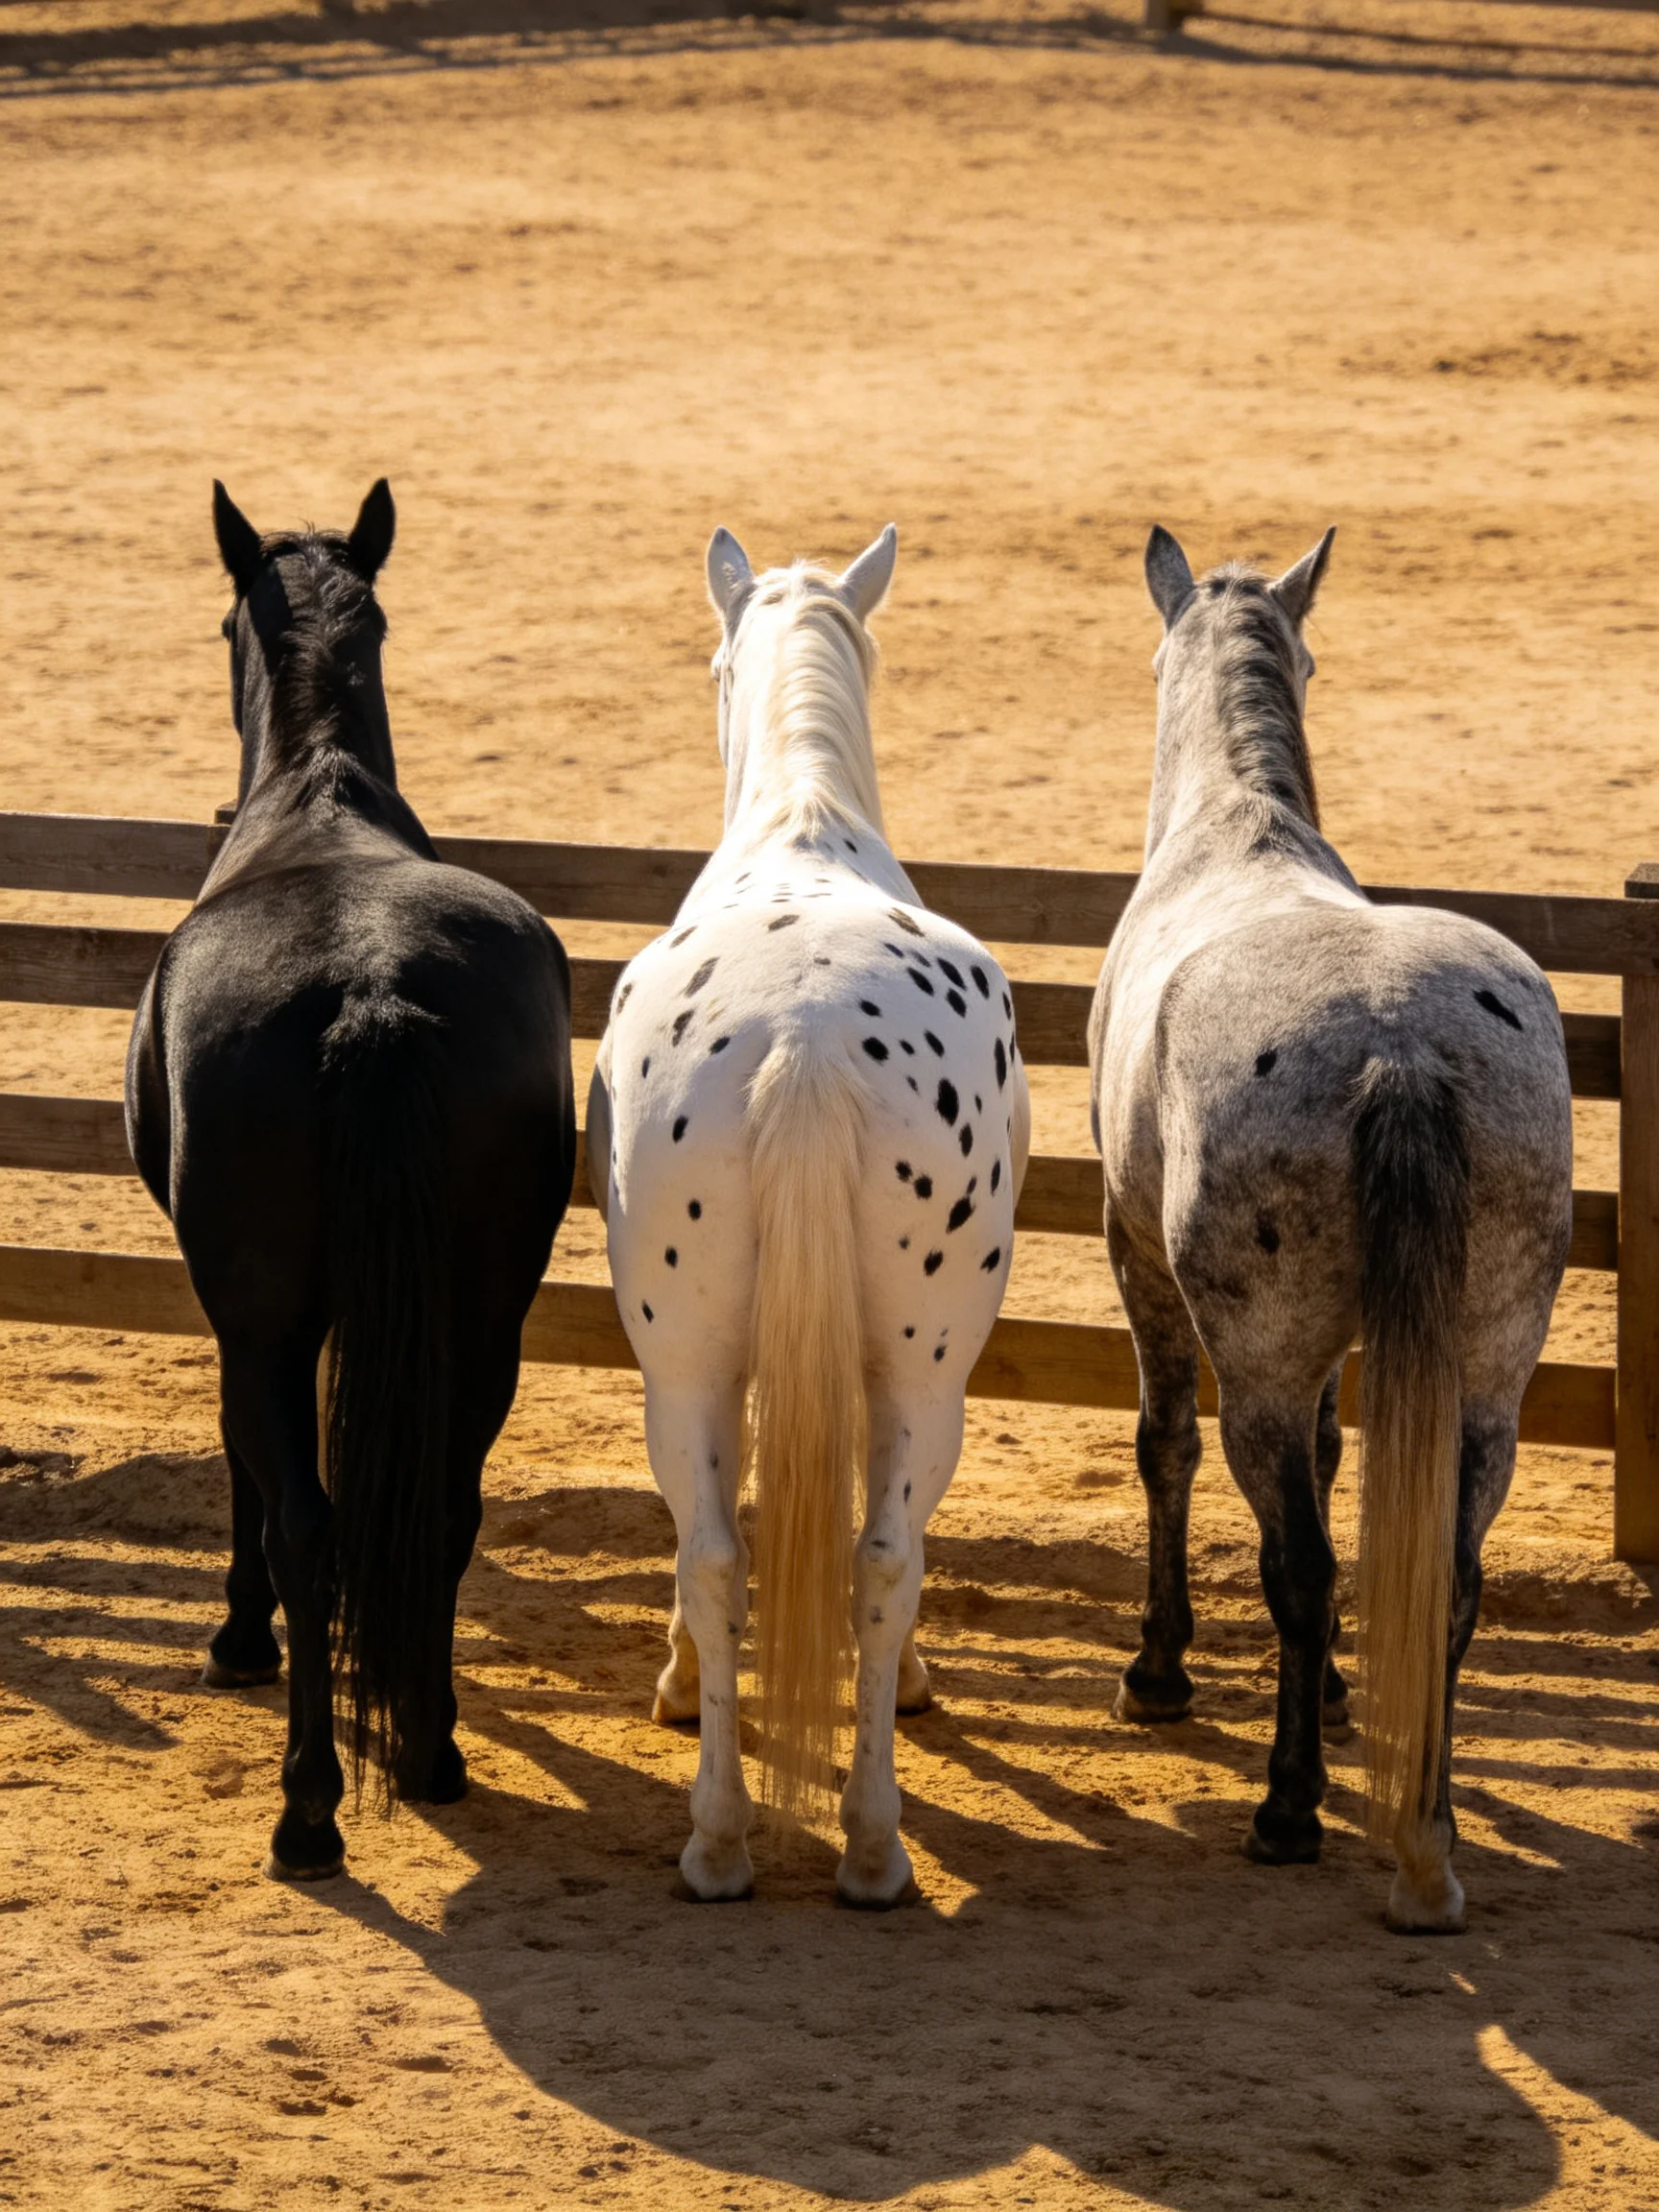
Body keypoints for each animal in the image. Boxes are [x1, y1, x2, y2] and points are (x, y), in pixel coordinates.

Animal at [126, 479, 576, 1880]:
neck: (317, 805)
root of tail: (371, 987)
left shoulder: (243, 1316)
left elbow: (249, 1472)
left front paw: (235, 1642)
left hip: (267, 1315)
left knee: (309, 1524)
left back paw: (310, 1810)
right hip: (485, 1314)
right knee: (442, 1505)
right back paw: (429, 1752)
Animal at [586, 525, 1030, 1905]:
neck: (804, 826)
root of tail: (807, 1034)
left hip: (694, 1364)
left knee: (737, 1553)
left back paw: (741, 1839)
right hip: (914, 1373)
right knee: (866, 1556)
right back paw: (850, 1841)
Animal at [1088, 526, 1571, 1932]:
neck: (1235, 836)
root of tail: (1398, 1043)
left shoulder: (1138, 1264)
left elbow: (1166, 1449)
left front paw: (1160, 1670)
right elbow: (1343, 1460)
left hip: (1257, 1351)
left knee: (1296, 1556)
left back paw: (1289, 1809)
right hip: (1488, 1373)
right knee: (1452, 1576)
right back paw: (1431, 1824)